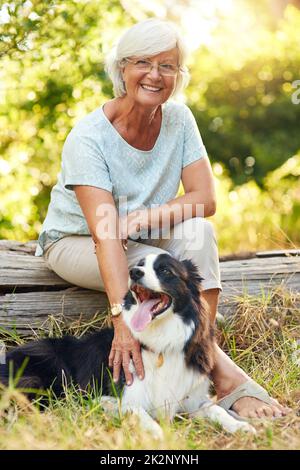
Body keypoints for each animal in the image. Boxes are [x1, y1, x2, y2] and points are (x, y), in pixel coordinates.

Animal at [0, 253, 254, 436]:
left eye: (165, 270)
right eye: (139, 265)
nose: (134, 272)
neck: (160, 344)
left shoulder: (190, 398)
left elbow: (216, 408)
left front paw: (240, 426)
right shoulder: (107, 397)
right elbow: (140, 414)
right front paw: (161, 436)